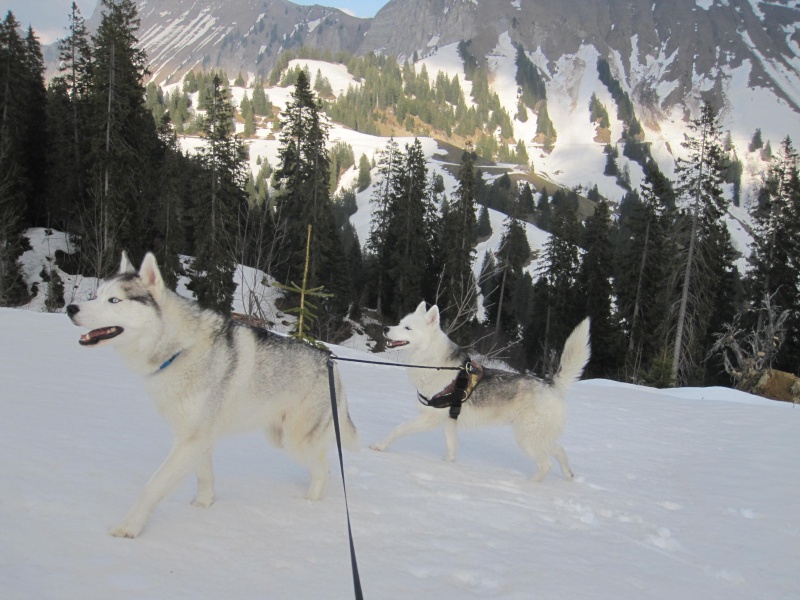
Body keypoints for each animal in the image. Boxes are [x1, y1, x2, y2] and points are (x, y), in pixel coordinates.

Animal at [64, 251, 358, 536]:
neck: (180, 348)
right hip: (280, 436)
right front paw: (203, 505)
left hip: (295, 441)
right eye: (97, 295)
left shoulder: (190, 439)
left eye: (115, 300)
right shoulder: (197, 436)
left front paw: (128, 528)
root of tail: (331, 364)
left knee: (324, 469)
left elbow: (152, 486)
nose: (70, 308)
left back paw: (310, 504)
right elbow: (204, 475)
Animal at [372, 302, 592, 480]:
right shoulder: (449, 422)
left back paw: (528, 485)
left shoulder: (429, 418)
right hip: (539, 437)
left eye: (407, 328)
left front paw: (379, 447)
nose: (385, 328)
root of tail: (550, 385)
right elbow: (451, 451)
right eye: (400, 323)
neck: (433, 363)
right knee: (560, 451)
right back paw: (568, 475)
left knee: (545, 465)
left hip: (527, 439)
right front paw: (447, 467)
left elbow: (397, 429)